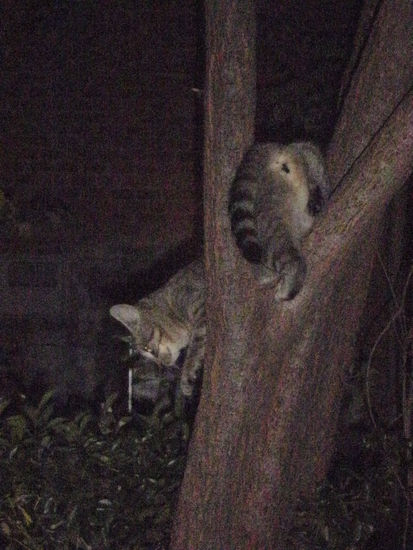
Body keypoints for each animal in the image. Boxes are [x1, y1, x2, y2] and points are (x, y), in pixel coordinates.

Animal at [227, 140, 330, 300]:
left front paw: (265, 276)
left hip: (270, 198)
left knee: (277, 242)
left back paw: (292, 277)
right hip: (310, 159)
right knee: (315, 169)